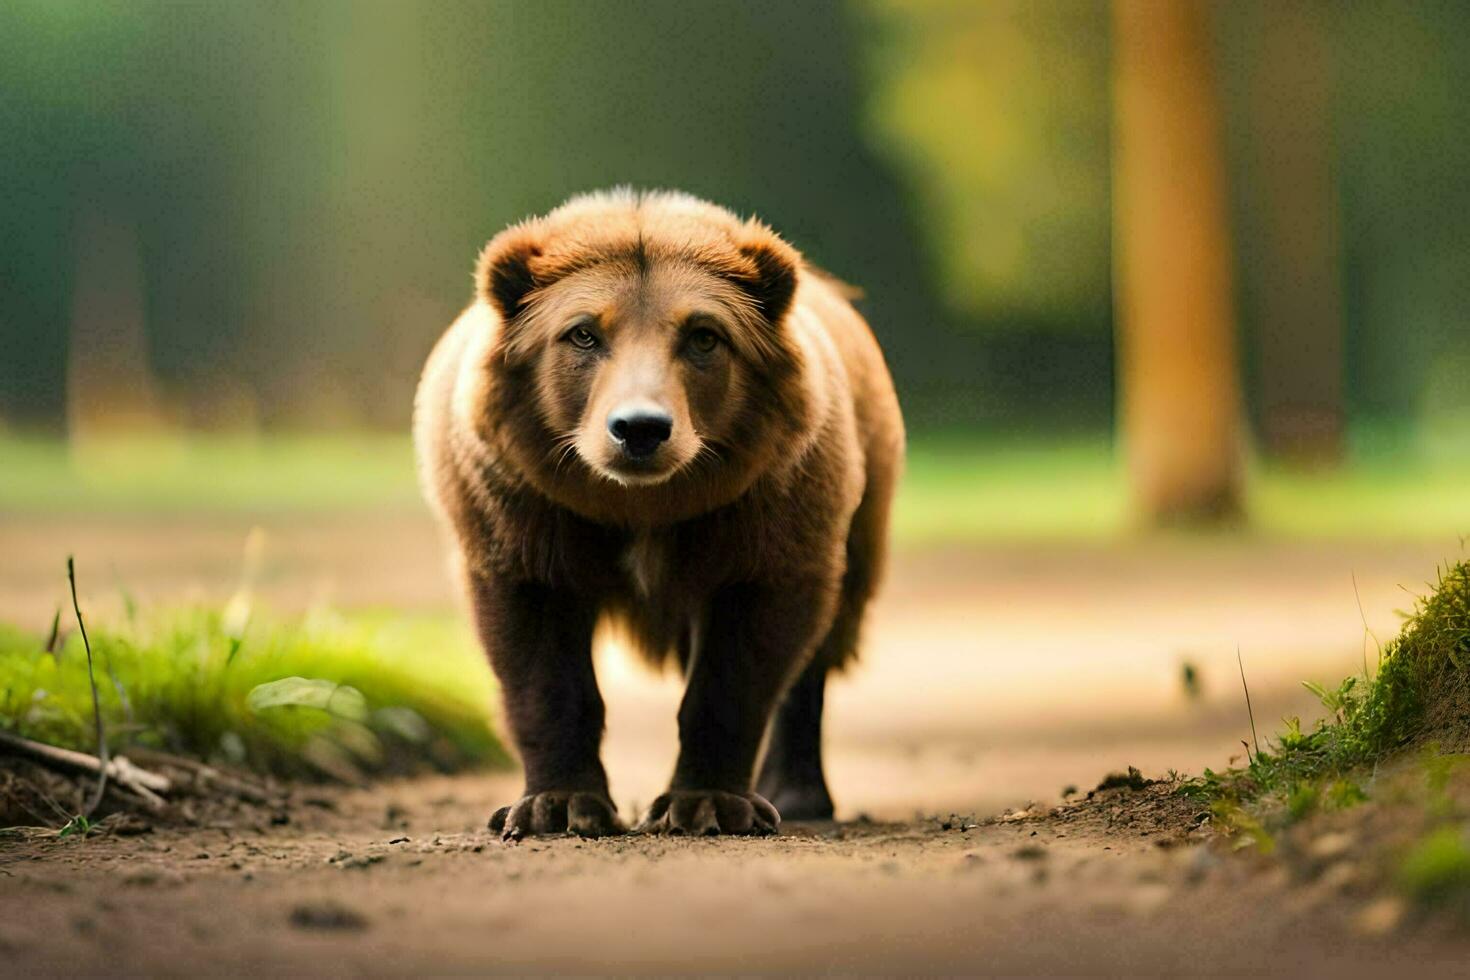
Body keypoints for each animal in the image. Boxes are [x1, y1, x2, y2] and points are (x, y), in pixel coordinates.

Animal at [408, 189, 899, 834]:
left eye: (704, 335)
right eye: (582, 333)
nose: (639, 427)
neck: (642, 507)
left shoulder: (766, 517)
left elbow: (741, 668)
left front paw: (707, 802)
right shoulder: (523, 514)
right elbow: (540, 666)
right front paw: (557, 804)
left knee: (826, 642)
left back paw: (797, 792)